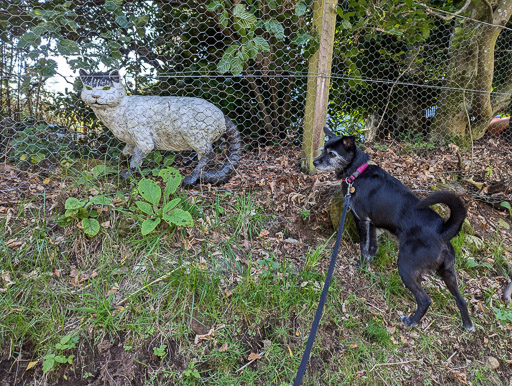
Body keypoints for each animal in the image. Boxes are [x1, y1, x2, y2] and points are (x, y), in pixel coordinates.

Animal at [314, 127, 474, 332]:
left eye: (332, 154)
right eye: (323, 150)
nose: (315, 162)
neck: (357, 173)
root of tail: (442, 231)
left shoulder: (362, 220)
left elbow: (363, 247)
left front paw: (361, 266)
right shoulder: (373, 225)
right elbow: (372, 248)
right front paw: (368, 266)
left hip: (406, 267)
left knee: (425, 300)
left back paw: (412, 321)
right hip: (448, 273)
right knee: (461, 299)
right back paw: (467, 324)